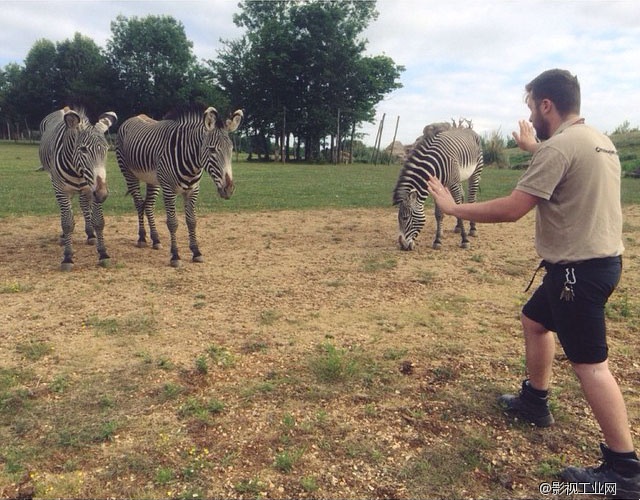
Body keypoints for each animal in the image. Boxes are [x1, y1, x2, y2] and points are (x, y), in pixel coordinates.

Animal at [39, 105, 119, 270]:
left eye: (106, 149)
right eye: (83, 149)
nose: (102, 194)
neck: (77, 169)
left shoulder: (92, 188)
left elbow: (98, 221)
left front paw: (103, 253)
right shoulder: (61, 189)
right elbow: (67, 222)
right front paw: (67, 257)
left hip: (85, 189)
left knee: (83, 205)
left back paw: (90, 234)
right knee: (67, 211)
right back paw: (65, 237)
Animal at [115, 105, 242, 268]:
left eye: (231, 149)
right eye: (212, 149)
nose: (228, 189)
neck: (192, 162)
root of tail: (133, 117)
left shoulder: (193, 190)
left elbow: (192, 221)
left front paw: (196, 252)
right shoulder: (169, 190)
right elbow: (172, 223)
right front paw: (175, 256)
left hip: (153, 180)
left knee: (148, 205)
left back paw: (155, 240)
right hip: (129, 173)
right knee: (138, 204)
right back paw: (142, 238)